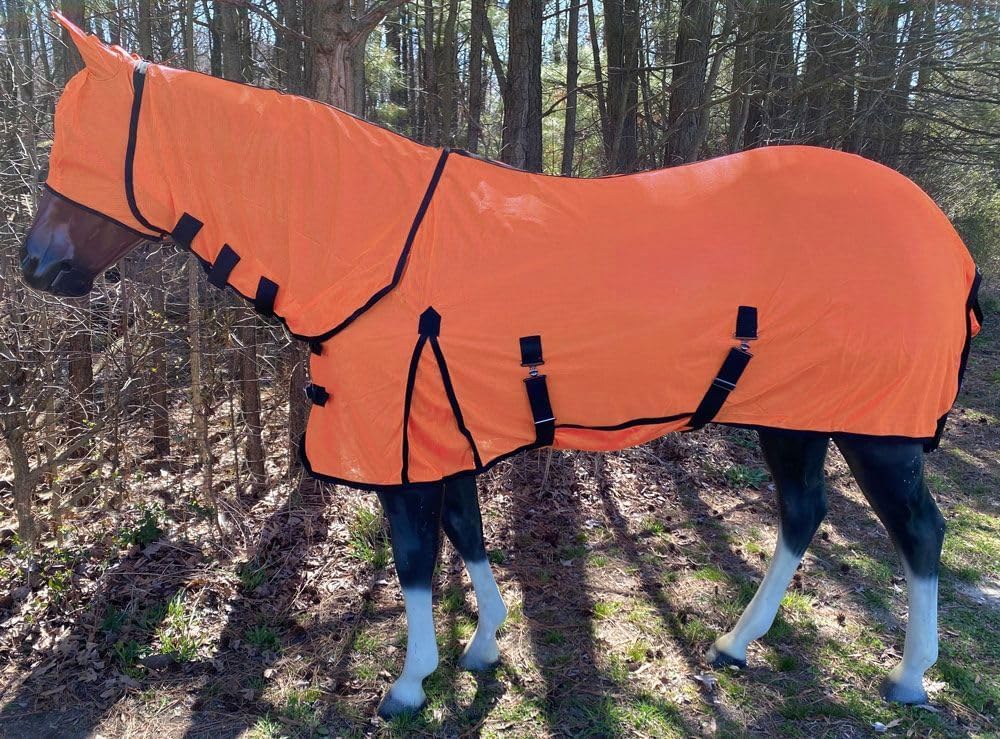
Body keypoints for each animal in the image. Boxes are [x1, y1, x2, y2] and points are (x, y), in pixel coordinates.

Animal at [20, 14, 982, 718]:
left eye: (81, 141)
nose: (34, 265)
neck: (367, 244)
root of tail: (950, 242)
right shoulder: (441, 433)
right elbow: (467, 532)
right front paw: (484, 643)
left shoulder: (402, 443)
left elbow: (415, 557)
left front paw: (411, 681)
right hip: (796, 414)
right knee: (802, 515)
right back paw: (737, 642)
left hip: (877, 429)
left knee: (919, 534)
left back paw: (908, 676)